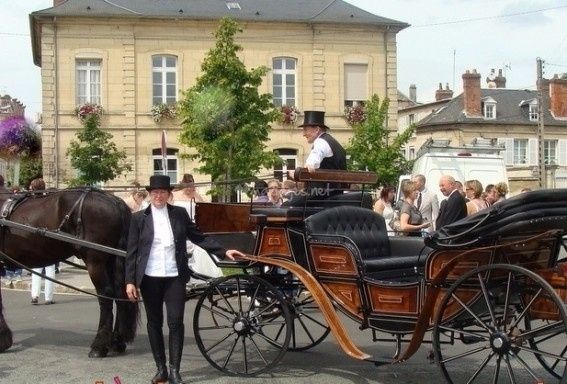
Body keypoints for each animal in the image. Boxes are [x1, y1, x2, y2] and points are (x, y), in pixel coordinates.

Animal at [0, 188, 139, 356]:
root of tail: (114, 201)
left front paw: (3, 340)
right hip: (111, 261)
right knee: (120, 294)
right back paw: (117, 342)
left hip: (95, 261)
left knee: (105, 295)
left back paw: (99, 345)